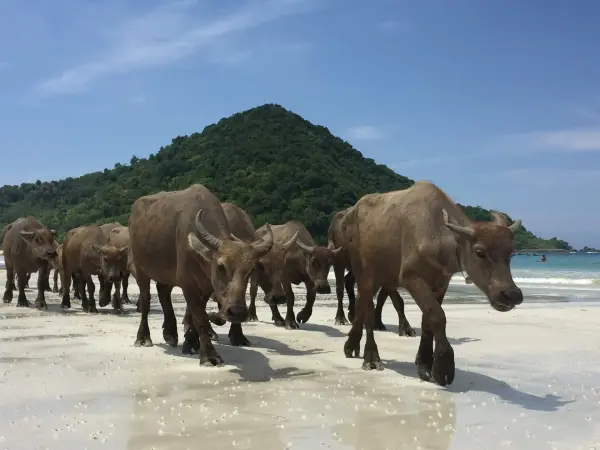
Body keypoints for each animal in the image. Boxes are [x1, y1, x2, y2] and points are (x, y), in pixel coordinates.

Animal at [130, 185, 276, 368]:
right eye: (220, 267)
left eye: (250, 271)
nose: (237, 312)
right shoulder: (188, 284)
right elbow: (200, 318)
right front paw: (209, 355)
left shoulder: (206, 286)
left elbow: (197, 316)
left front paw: (191, 342)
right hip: (141, 269)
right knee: (145, 300)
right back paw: (143, 337)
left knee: (163, 292)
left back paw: (170, 333)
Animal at [328, 206, 418, 336]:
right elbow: (397, 301)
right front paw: (406, 329)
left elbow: (381, 298)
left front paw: (377, 324)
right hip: (338, 259)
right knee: (339, 288)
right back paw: (341, 318)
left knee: (348, 281)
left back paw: (353, 315)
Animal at [340, 181, 524, 384]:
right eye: (479, 252)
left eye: (511, 253)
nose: (511, 295)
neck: (436, 235)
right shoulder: (411, 278)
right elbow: (437, 315)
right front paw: (443, 366)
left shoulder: (441, 284)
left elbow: (427, 320)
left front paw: (425, 364)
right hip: (364, 273)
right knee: (368, 310)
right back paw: (371, 357)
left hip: (378, 278)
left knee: (361, 305)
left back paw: (351, 344)